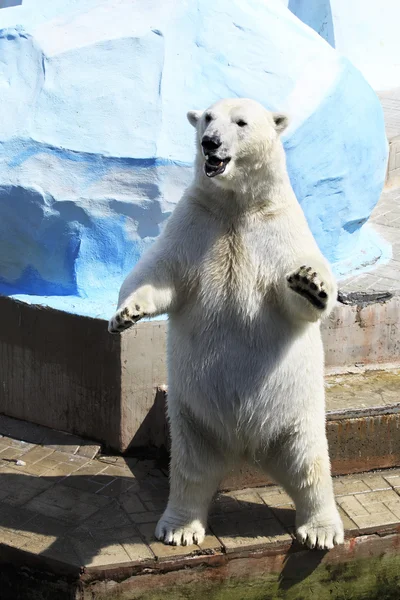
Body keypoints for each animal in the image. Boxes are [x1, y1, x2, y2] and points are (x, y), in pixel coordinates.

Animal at [108, 97, 344, 548]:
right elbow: (157, 274)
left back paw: (321, 530)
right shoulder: (195, 223)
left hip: (296, 414)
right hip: (189, 416)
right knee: (191, 470)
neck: (237, 204)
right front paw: (126, 314)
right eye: (206, 118)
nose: (210, 143)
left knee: (310, 465)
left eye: (241, 122)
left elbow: (296, 300)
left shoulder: (278, 227)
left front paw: (311, 283)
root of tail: (246, 448)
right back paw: (179, 528)